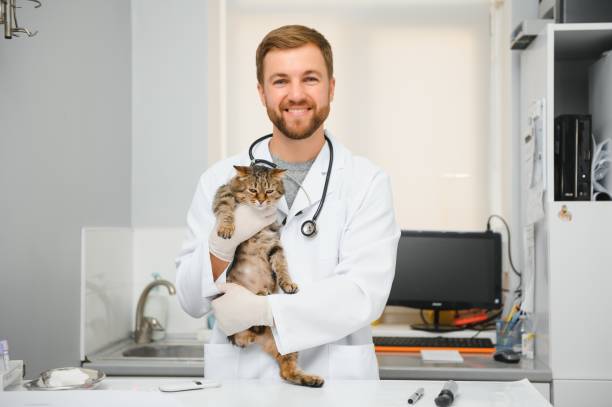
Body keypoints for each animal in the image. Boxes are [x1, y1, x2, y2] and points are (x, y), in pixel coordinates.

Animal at [212, 164, 326, 388]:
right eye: (253, 190)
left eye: (270, 191)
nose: (262, 201)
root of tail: (253, 336)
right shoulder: (224, 192)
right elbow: (226, 207)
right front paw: (226, 227)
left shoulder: (274, 244)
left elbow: (281, 264)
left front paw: (288, 283)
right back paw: (261, 295)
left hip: (286, 342)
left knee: (286, 370)